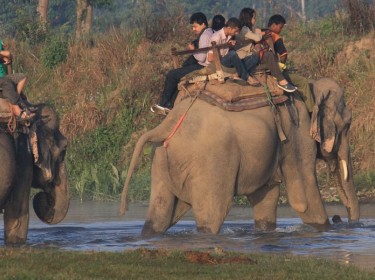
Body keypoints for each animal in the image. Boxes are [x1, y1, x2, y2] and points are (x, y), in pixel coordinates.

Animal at [122, 76, 360, 234]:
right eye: (348, 124)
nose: (340, 218)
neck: (308, 90)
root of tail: (167, 124)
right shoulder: (297, 131)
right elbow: (303, 198)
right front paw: (324, 228)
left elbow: (265, 194)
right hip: (211, 164)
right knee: (213, 214)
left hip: (161, 159)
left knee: (159, 215)